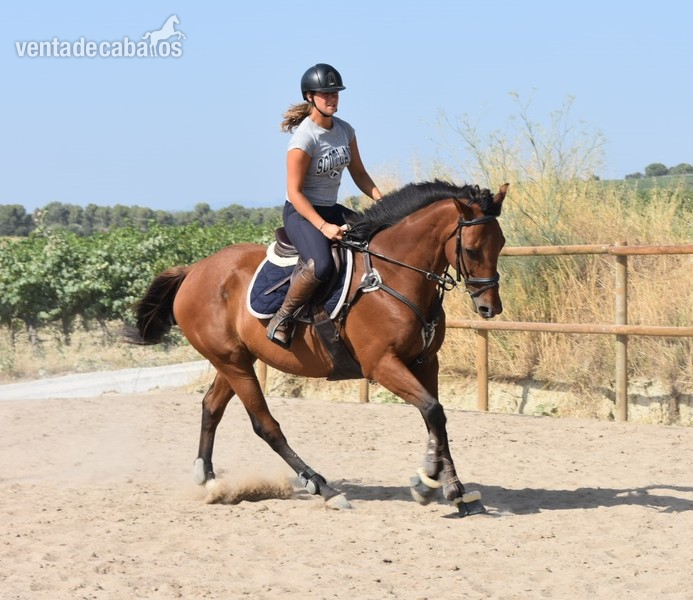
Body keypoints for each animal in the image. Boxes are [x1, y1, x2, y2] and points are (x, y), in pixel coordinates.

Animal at [125, 180, 508, 515]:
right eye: (472, 249)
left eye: (501, 244)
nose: (490, 308)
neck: (393, 276)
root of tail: (193, 270)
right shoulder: (382, 364)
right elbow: (432, 411)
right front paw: (426, 482)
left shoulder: (426, 362)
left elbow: (437, 419)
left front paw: (456, 492)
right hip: (233, 363)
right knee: (265, 425)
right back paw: (323, 488)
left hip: (235, 360)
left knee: (211, 407)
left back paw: (207, 479)